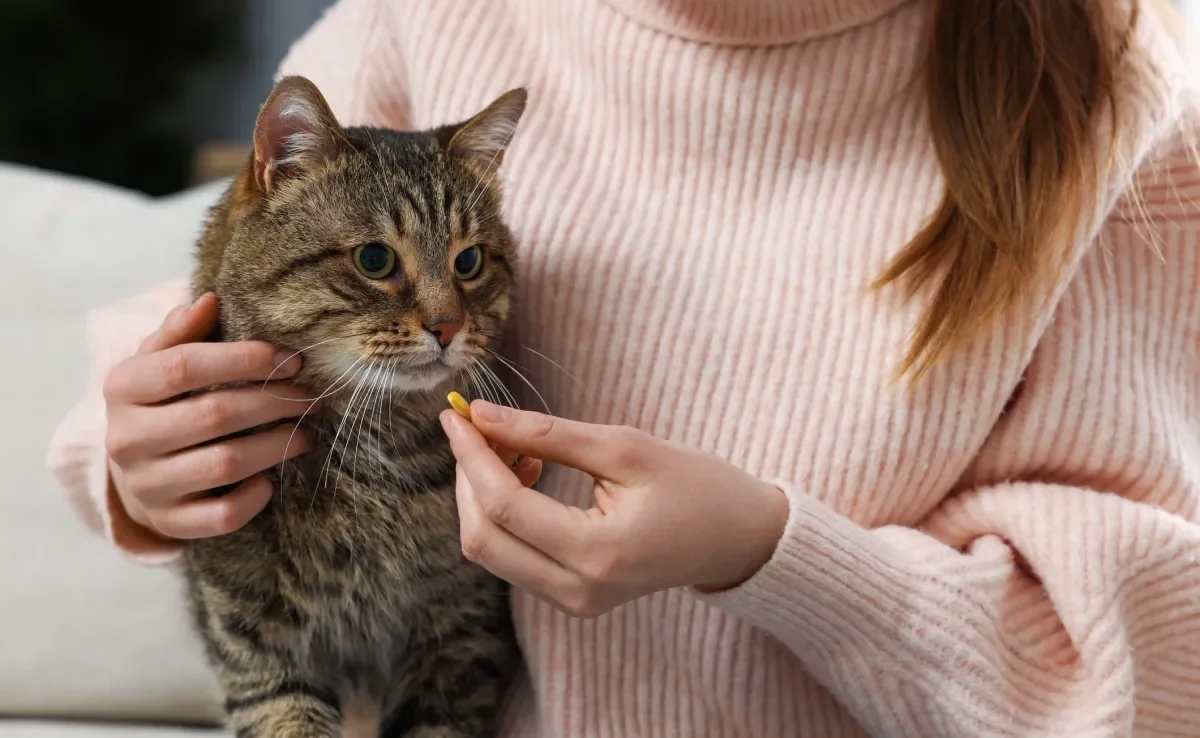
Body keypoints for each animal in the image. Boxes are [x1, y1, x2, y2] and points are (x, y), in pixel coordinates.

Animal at [181, 76, 525, 738]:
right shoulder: (258, 644)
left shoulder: (461, 629)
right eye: (374, 260)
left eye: (469, 261)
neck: (374, 449)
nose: (448, 327)